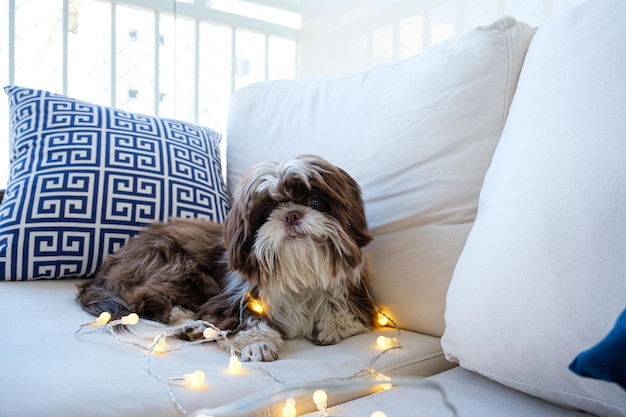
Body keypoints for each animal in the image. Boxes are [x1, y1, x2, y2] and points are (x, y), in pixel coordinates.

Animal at [75, 154, 372, 360]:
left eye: (316, 203)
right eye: (266, 212)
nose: (291, 214)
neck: (299, 273)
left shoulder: (356, 295)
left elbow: (349, 315)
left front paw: (330, 325)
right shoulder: (232, 299)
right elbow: (247, 321)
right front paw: (258, 343)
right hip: (173, 262)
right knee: (148, 299)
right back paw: (191, 325)